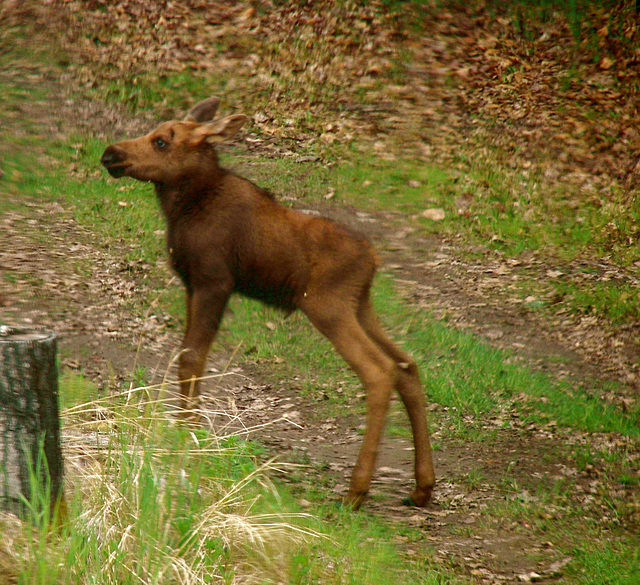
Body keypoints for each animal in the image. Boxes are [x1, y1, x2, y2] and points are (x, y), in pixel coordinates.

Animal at [101, 96, 436, 506]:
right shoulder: (191, 285)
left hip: (328, 306)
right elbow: (186, 357)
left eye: (162, 141)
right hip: (361, 306)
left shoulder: (215, 282)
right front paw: (183, 429)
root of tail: (373, 259)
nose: (110, 153)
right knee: (407, 365)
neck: (184, 207)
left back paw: (356, 491)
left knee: (380, 371)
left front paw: (188, 435)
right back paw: (422, 487)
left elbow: (192, 359)